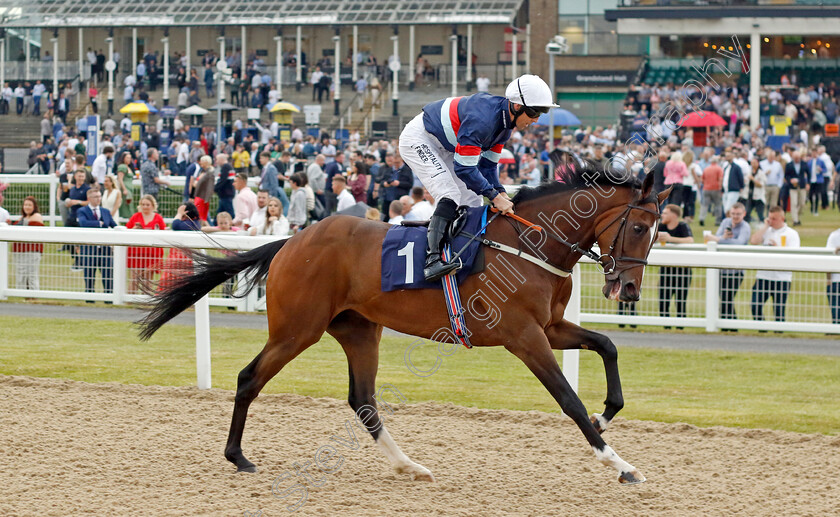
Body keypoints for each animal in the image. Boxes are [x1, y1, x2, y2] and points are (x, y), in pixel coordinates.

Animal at [141, 156, 672, 484]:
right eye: (638, 227)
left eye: (656, 232)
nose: (628, 290)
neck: (531, 244)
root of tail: (293, 240)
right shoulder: (524, 337)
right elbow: (568, 400)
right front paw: (620, 463)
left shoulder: (551, 328)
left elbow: (607, 346)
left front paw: (608, 413)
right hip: (297, 329)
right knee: (250, 378)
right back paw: (238, 456)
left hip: (359, 329)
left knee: (363, 400)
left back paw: (409, 466)